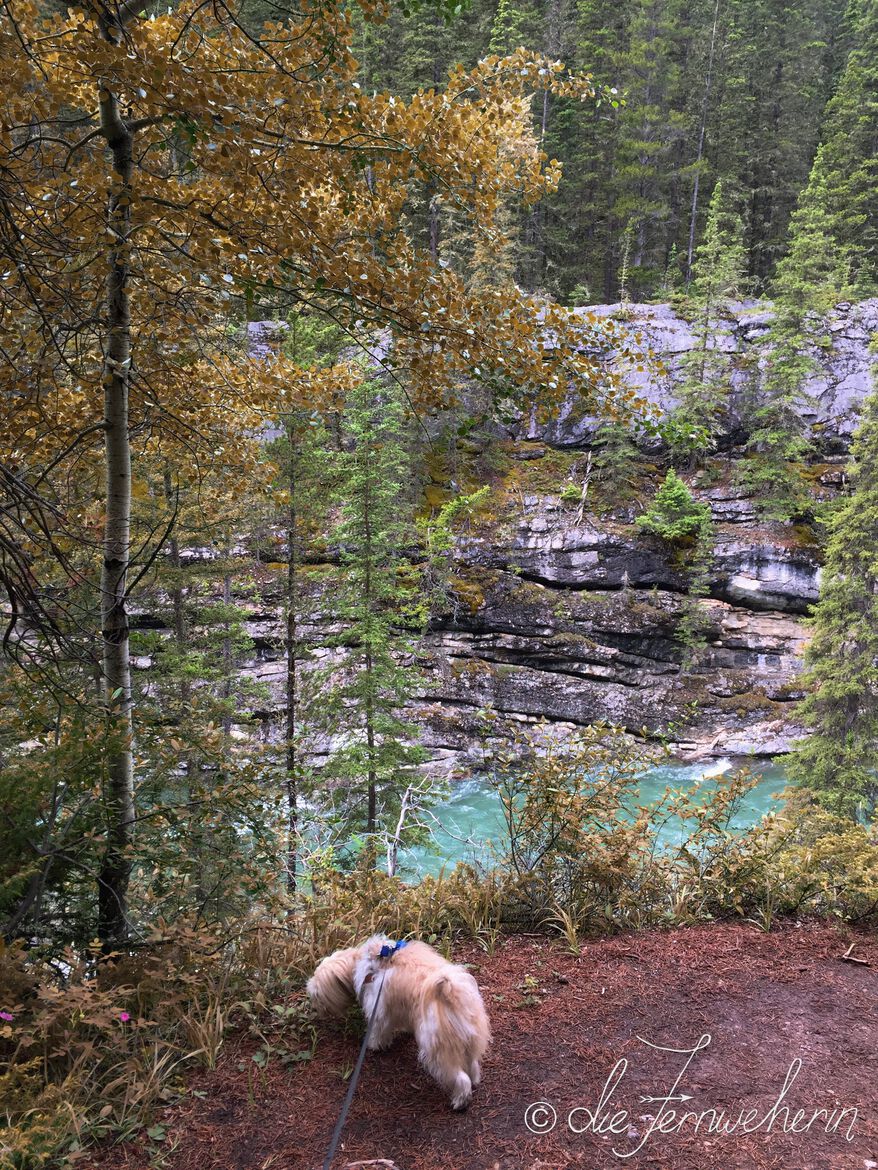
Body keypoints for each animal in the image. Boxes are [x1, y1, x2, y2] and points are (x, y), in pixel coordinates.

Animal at [306, 935, 489, 1109]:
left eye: (317, 994)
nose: (315, 1009)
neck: (366, 962)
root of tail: (451, 994)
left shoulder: (378, 1009)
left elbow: (379, 1031)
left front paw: (374, 1045)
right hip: (469, 1040)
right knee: (472, 1065)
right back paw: (474, 1080)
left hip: (438, 1052)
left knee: (460, 1078)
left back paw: (460, 1101)